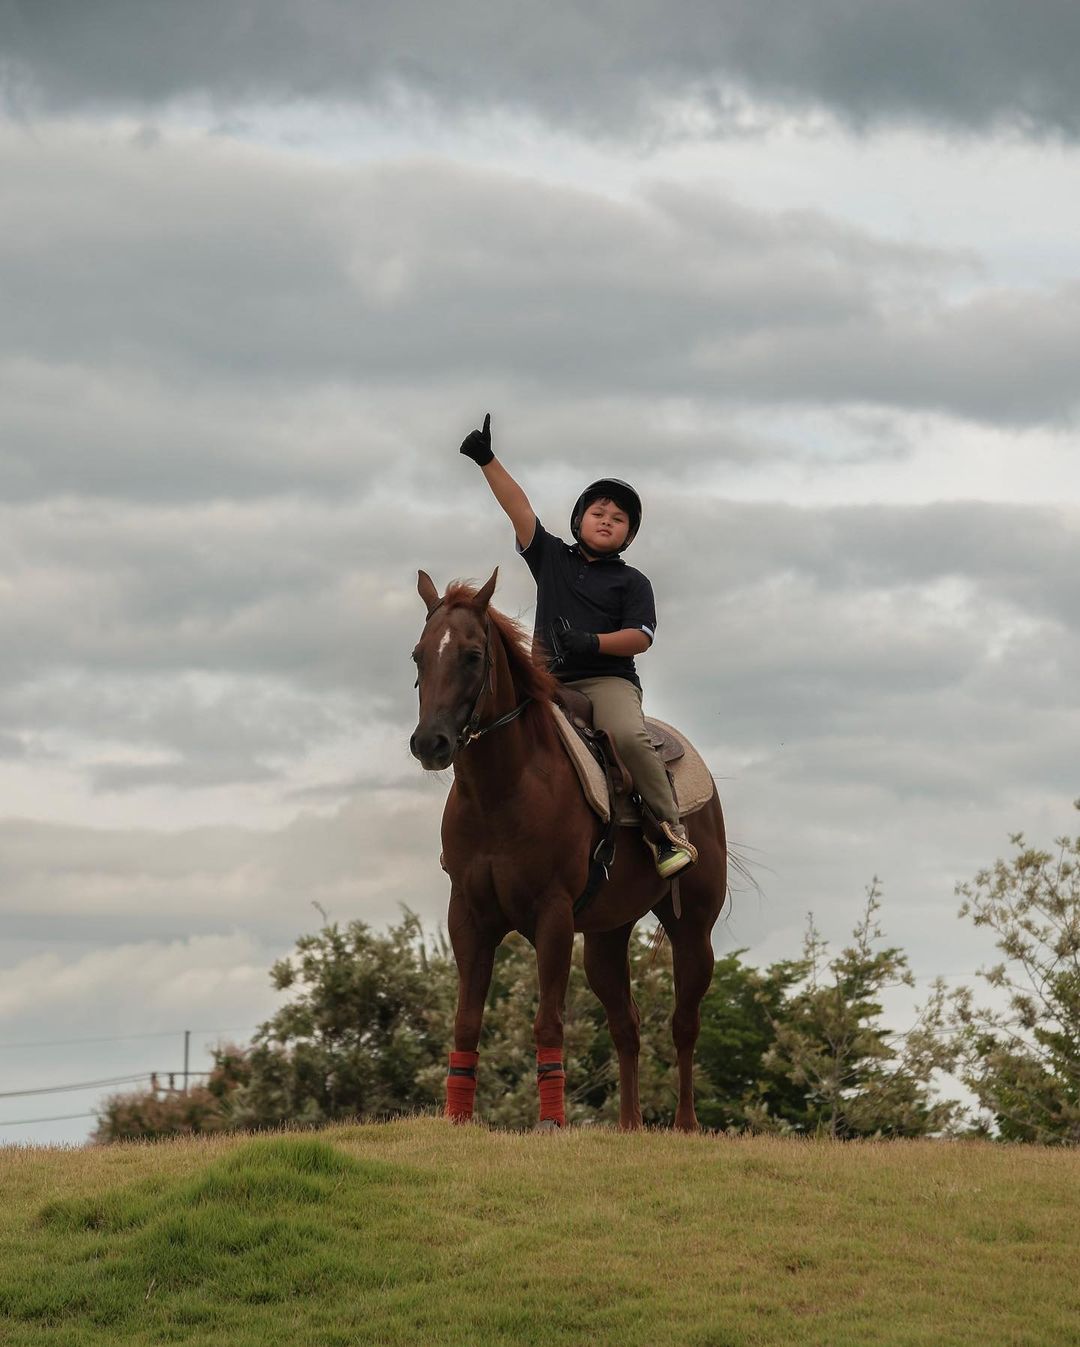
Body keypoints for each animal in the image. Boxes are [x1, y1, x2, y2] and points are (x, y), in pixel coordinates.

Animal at [409, 565, 727, 1126]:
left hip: (693, 928)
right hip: (607, 936)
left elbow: (548, 1021)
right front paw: (458, 1118)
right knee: (627, 1024)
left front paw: (551, 1121)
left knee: (684, 1023)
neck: (502, 790)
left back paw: (685, 1126)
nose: (430, 744)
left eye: (472, 655)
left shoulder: (552, 916)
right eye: (418, 655)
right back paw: (628, 1126)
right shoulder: (468, 916)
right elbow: (466, 1021)